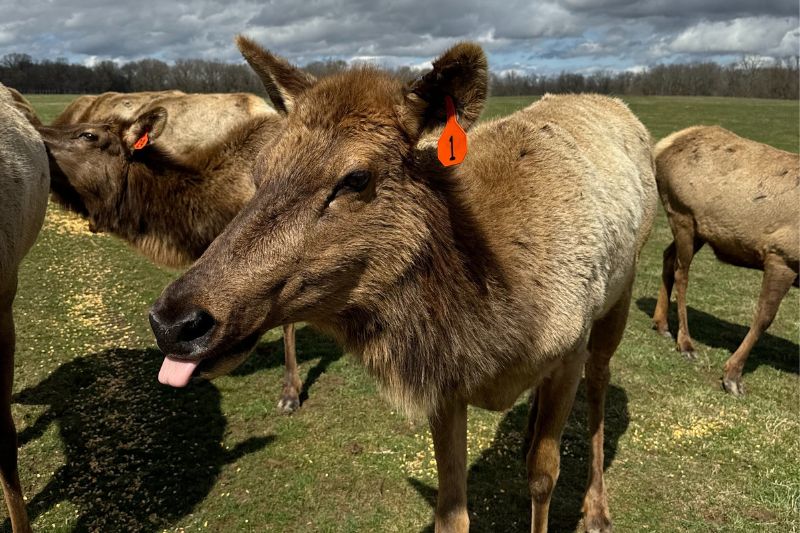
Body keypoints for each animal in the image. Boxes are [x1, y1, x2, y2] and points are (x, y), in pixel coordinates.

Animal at [149, 37, 657, 532]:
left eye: (356, 178)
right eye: (258, 171)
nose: (173, 321)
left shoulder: (570, 348)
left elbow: (543, 476)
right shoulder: (446, 388)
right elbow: (451, 510)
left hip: (623, 287)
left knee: (600, 379)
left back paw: (596, 509)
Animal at [651, 125, 799, 395]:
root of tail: (663, 145)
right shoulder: (782, 256)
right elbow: (763, 317)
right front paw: (732, 376)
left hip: (700, 231)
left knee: (667, 256)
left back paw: (662, 324)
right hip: (682, 215)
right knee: (681, 272)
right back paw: (685, 343)